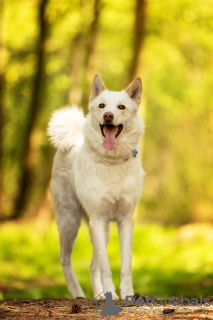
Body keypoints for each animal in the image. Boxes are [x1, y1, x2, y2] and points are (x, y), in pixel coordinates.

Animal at [47, 75, 145, 300]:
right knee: (64, 259)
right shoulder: (98, 220)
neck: (112, 162)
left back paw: (100, 295)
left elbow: (125, 265)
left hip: (102, 229)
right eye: (101, 106)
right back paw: (78, 294)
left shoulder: (125, 221)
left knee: (93, 266)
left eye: (121, 107)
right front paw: (112, 294)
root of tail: (72, 140)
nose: (108, 115)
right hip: (70, 222)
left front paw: (127, 294)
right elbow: (106, 266)